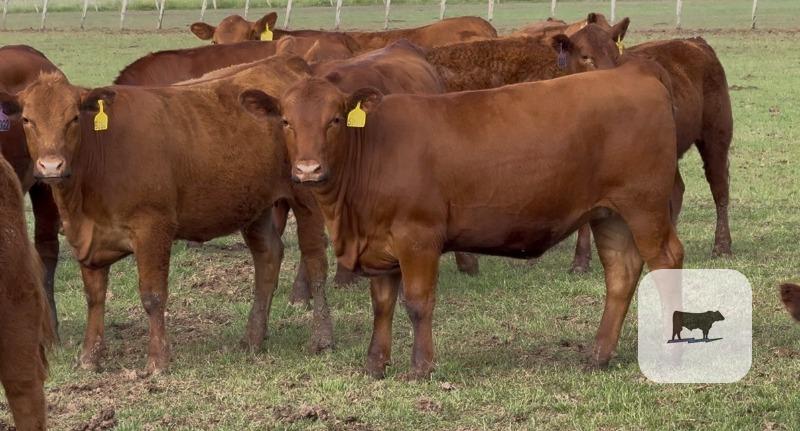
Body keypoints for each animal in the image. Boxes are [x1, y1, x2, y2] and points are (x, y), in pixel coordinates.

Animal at [0, 55, 333, 374]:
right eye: (27, 120)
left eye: (73, 118)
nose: (51, 166)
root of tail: (285, 63)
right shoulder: (87, 237)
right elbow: (94, 297)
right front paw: (88, 358)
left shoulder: (153, 227)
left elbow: (152, 295)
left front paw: (158, 361)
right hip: (255, 205)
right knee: (268, 258)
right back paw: (253, 338)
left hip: (307, 195)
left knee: (316, 261)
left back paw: (321, 338)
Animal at [239, 58, 684, 378]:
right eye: (286, 121)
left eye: (334, 119)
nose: (307, 170)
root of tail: (634, 70)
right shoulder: (380, 245)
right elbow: (382, 304)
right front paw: (375, 364)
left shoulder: (417, 236)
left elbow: (417, 302)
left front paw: (420, 367)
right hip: (609, 214)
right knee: (621, 273)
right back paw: (598, 355)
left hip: (644, 207)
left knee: (667, 261)